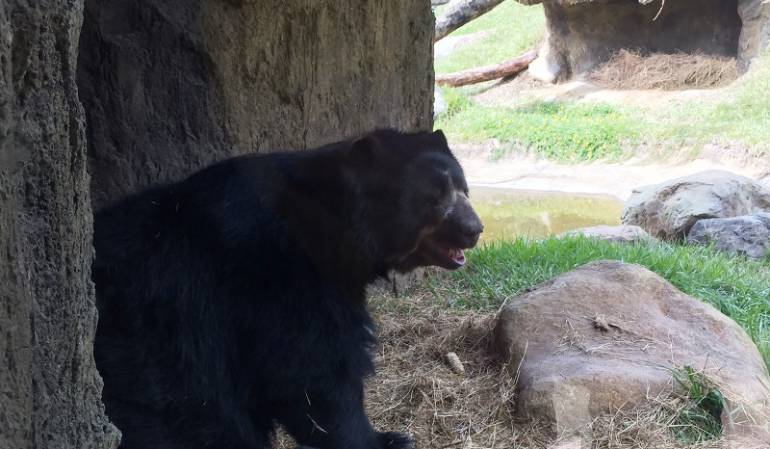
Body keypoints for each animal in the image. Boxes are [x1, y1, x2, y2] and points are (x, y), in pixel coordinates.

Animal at [93, 128, 484, 449]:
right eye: (435, 197)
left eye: (464, 188)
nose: (474, 229)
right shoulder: (276, 275)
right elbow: (313, 374)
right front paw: (382, 439)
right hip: (145, 358)